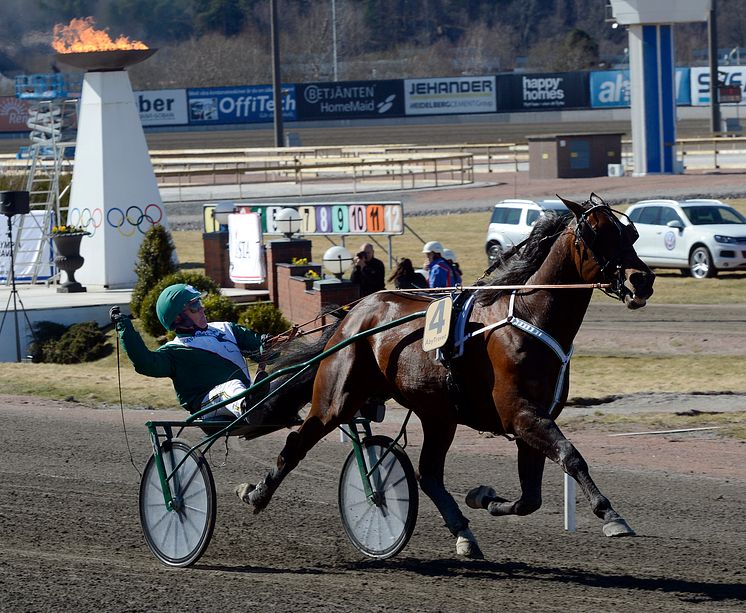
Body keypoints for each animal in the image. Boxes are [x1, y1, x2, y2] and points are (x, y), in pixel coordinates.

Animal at [237, 194, 652, 556]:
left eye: (628, 233)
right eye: (596, 233)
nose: (641, 280)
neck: (530, 317)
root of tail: (352, 313)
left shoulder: (531, 419)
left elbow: (530, 498)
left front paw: (485, 498)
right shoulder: (521, 414)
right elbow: (571, 456)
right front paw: (610, 515)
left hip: (438, 414)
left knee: (429, 475)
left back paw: (464, 534)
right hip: (337, 398)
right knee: (298, 441)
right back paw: (257, 493)